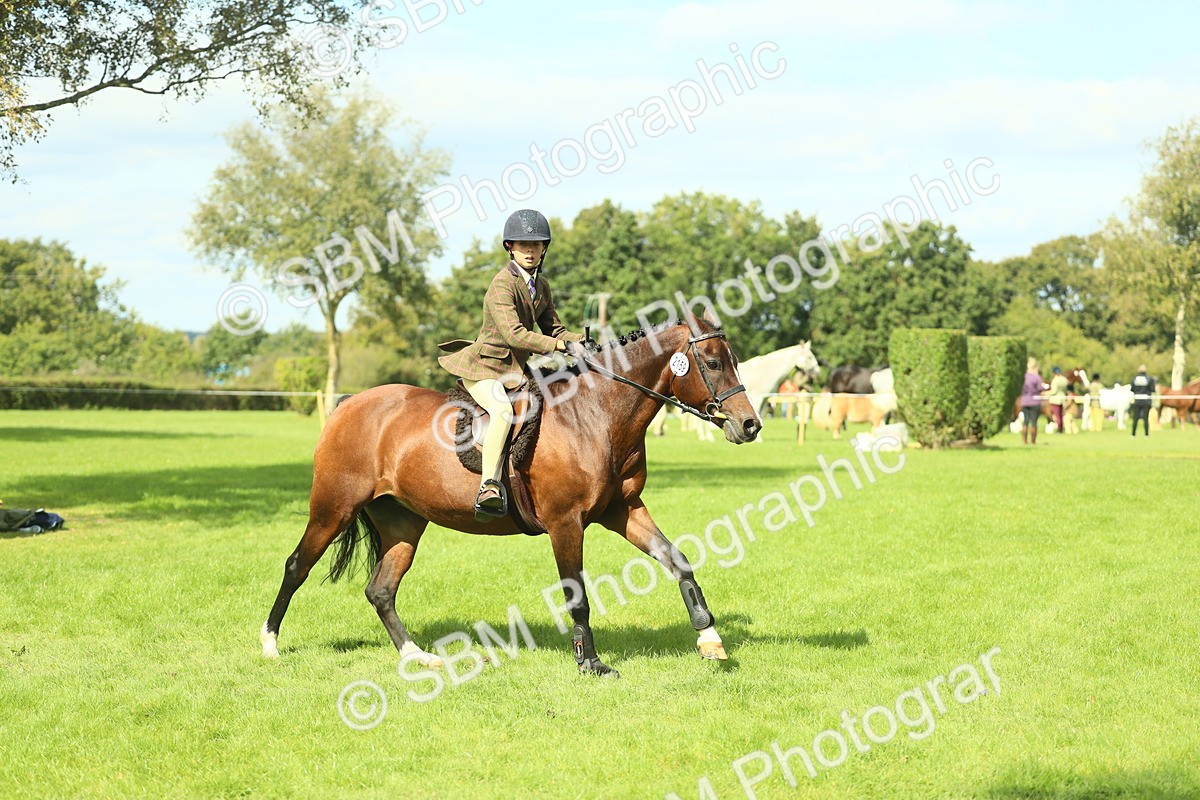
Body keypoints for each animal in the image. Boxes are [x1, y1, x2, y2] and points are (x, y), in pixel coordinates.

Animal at [260, 317, 763, 677]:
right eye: (713, 363)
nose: (750, 425)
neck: (596, 414)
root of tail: (349, 404)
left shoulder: (622, 510)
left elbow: (677, 559)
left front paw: (709, 639)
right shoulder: (565, 522)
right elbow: (577, 595)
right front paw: (590, 663)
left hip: (403, 522)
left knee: (381, 589)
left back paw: (417, 657)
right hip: (333, 508)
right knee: (297, 566)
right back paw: (269, 644)